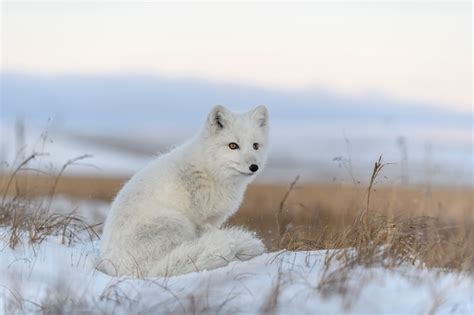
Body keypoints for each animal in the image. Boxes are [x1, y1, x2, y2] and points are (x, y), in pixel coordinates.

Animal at [99, 105, 270, 276]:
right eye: (233, 145)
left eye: (255, 146)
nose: (254, 167)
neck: (210, 171)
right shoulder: (202, 221)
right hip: (177, 222)